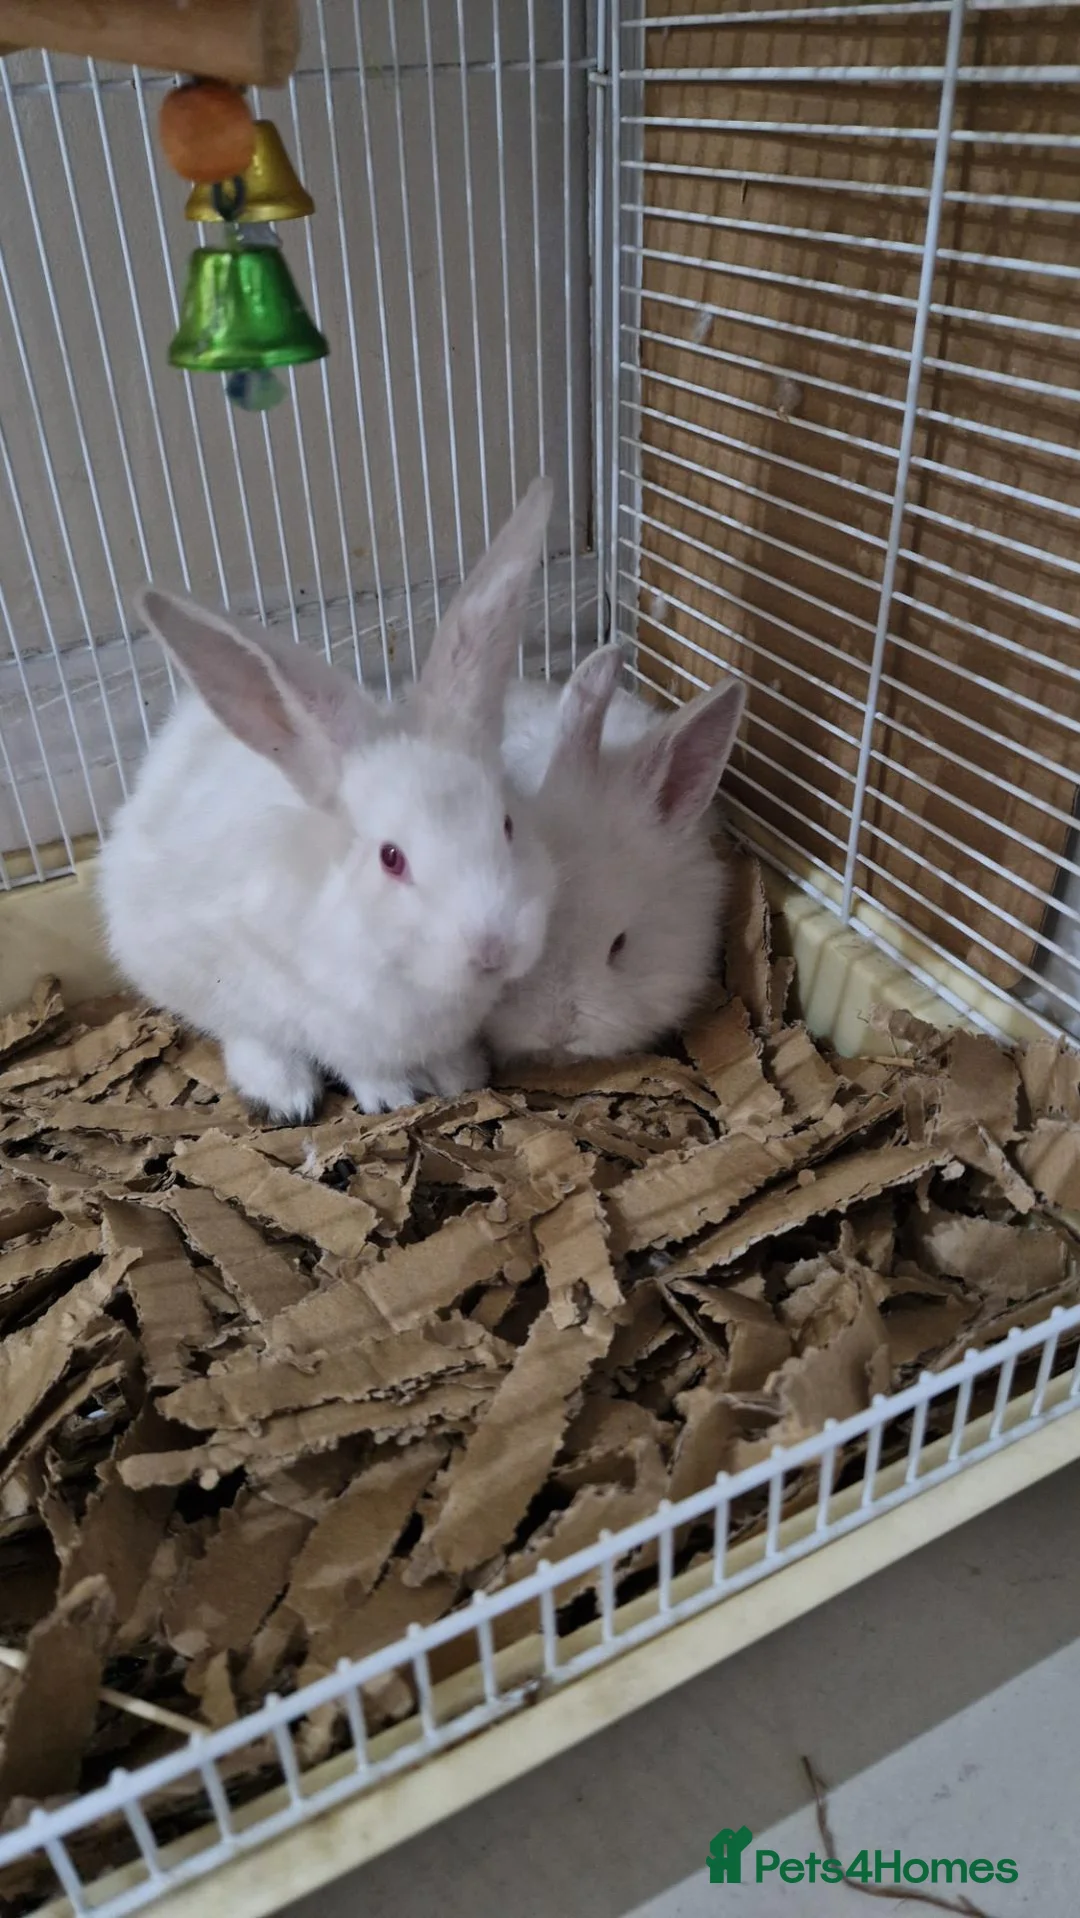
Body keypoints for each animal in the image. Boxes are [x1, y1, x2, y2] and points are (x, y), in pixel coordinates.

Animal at [98, 479, 557, 1120]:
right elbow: (360, 1064)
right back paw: (284, 1094)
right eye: (391, 858)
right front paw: (390, 1097)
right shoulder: (322, 1012)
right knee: (245, 1032)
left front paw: (461, 1076)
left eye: (508, 826)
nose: (492, 949)